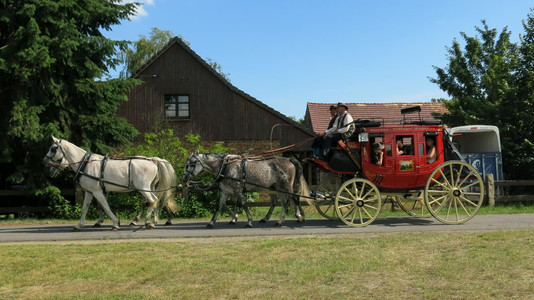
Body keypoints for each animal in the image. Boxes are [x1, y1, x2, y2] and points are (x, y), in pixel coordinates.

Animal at [44, 136, 178, 230]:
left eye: (53, 149)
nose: (45, 161)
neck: (85, 164)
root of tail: (153, 160)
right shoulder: (89, 192)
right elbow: (84, 208)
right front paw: (79, 225)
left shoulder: (97, 191)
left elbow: (106, 207)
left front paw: (115, 223)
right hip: (148, 188)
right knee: (155, 200)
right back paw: (153, 221)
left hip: (143, 188)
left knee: (152, 200)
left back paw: (147, 221)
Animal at [184, 152, 312, 227]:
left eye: (192, 163)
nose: (185, 178)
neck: (225, 167)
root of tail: (289, 160)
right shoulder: (225, 192)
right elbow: (219, 206)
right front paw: (211, 222)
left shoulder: (239, 191)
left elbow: (244, 205)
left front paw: (249, 221)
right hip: (277, 188)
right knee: (283, 202)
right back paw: (279, 220)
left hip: (286, 186)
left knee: (295, 198)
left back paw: (299, 216)